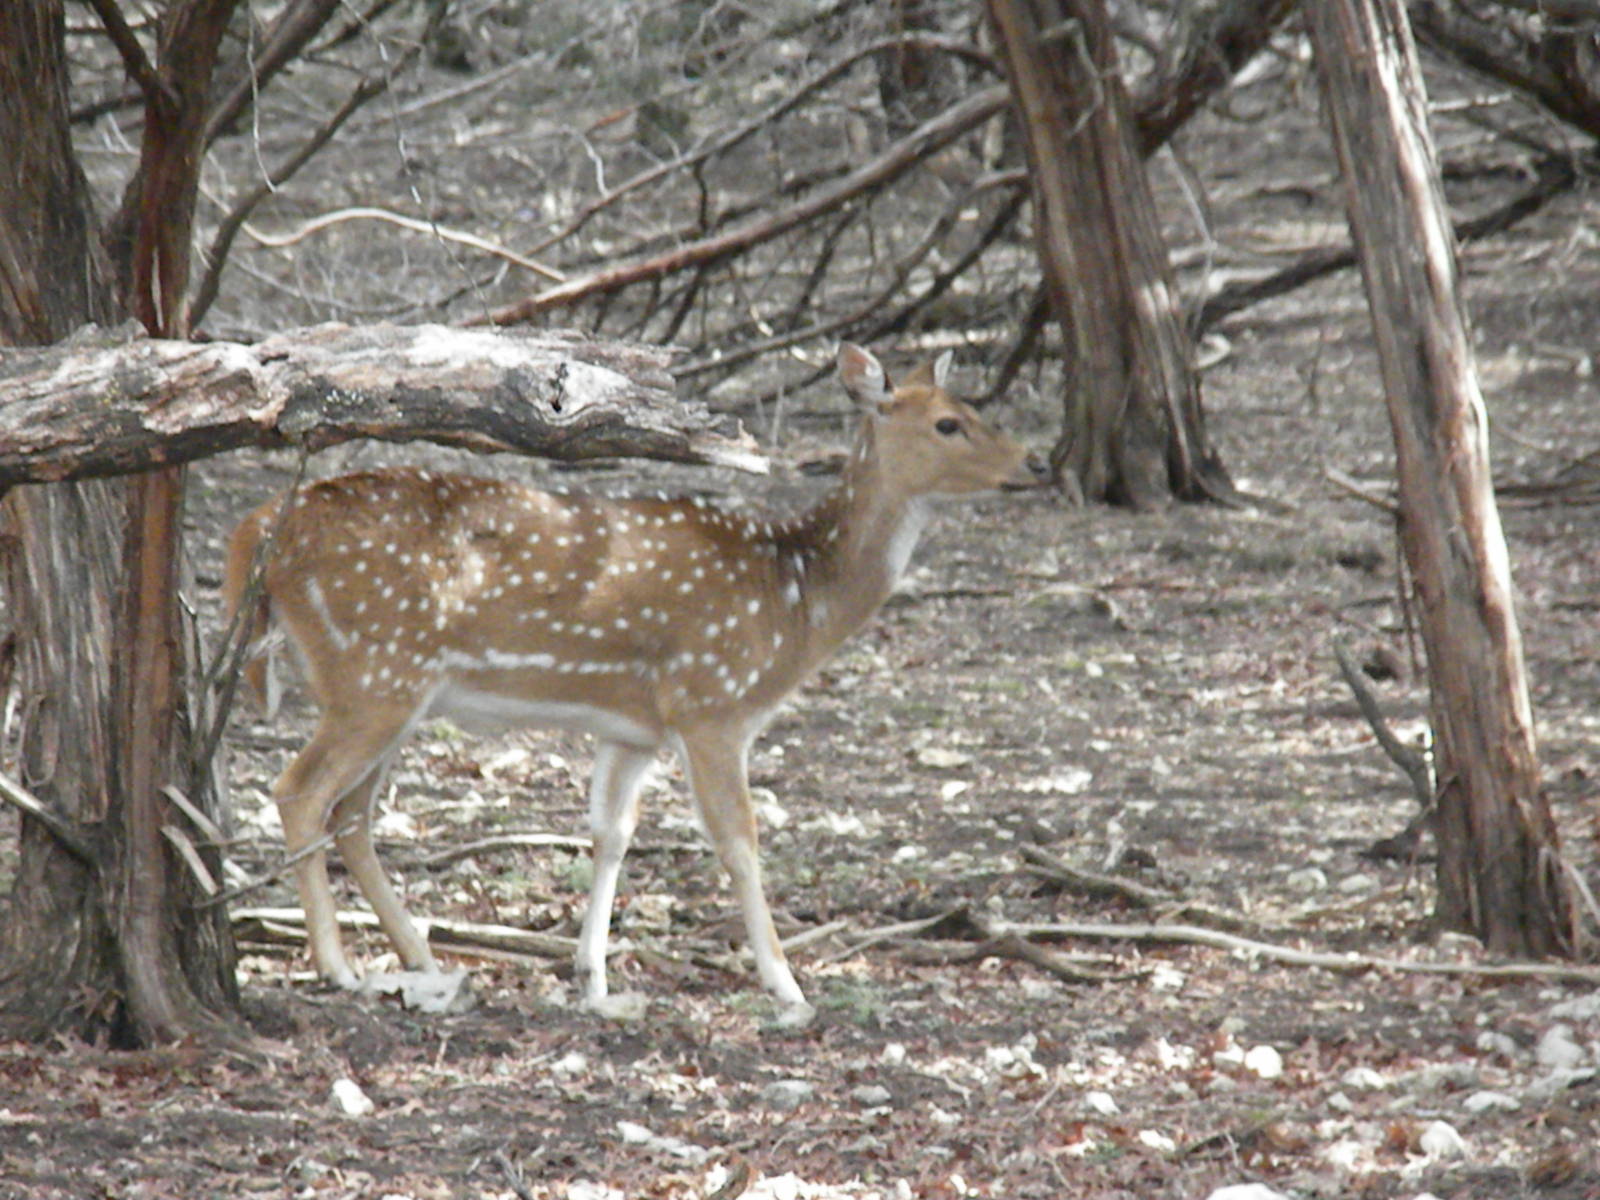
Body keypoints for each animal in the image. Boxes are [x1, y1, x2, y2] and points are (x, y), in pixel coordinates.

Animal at [223, 343, 1045, 1026]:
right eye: (948, 423)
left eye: (975, 410)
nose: (1034, 466)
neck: (795, 600)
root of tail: (260, 528)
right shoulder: (710, 703)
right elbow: (739, 840)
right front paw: (786, 985)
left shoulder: (633, 730)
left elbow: (611, 834)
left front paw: (594, 981)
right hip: (372, 672)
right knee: (300, 791)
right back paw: (338, 966)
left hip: (393, 687)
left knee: (351, 813)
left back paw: (421, 959)